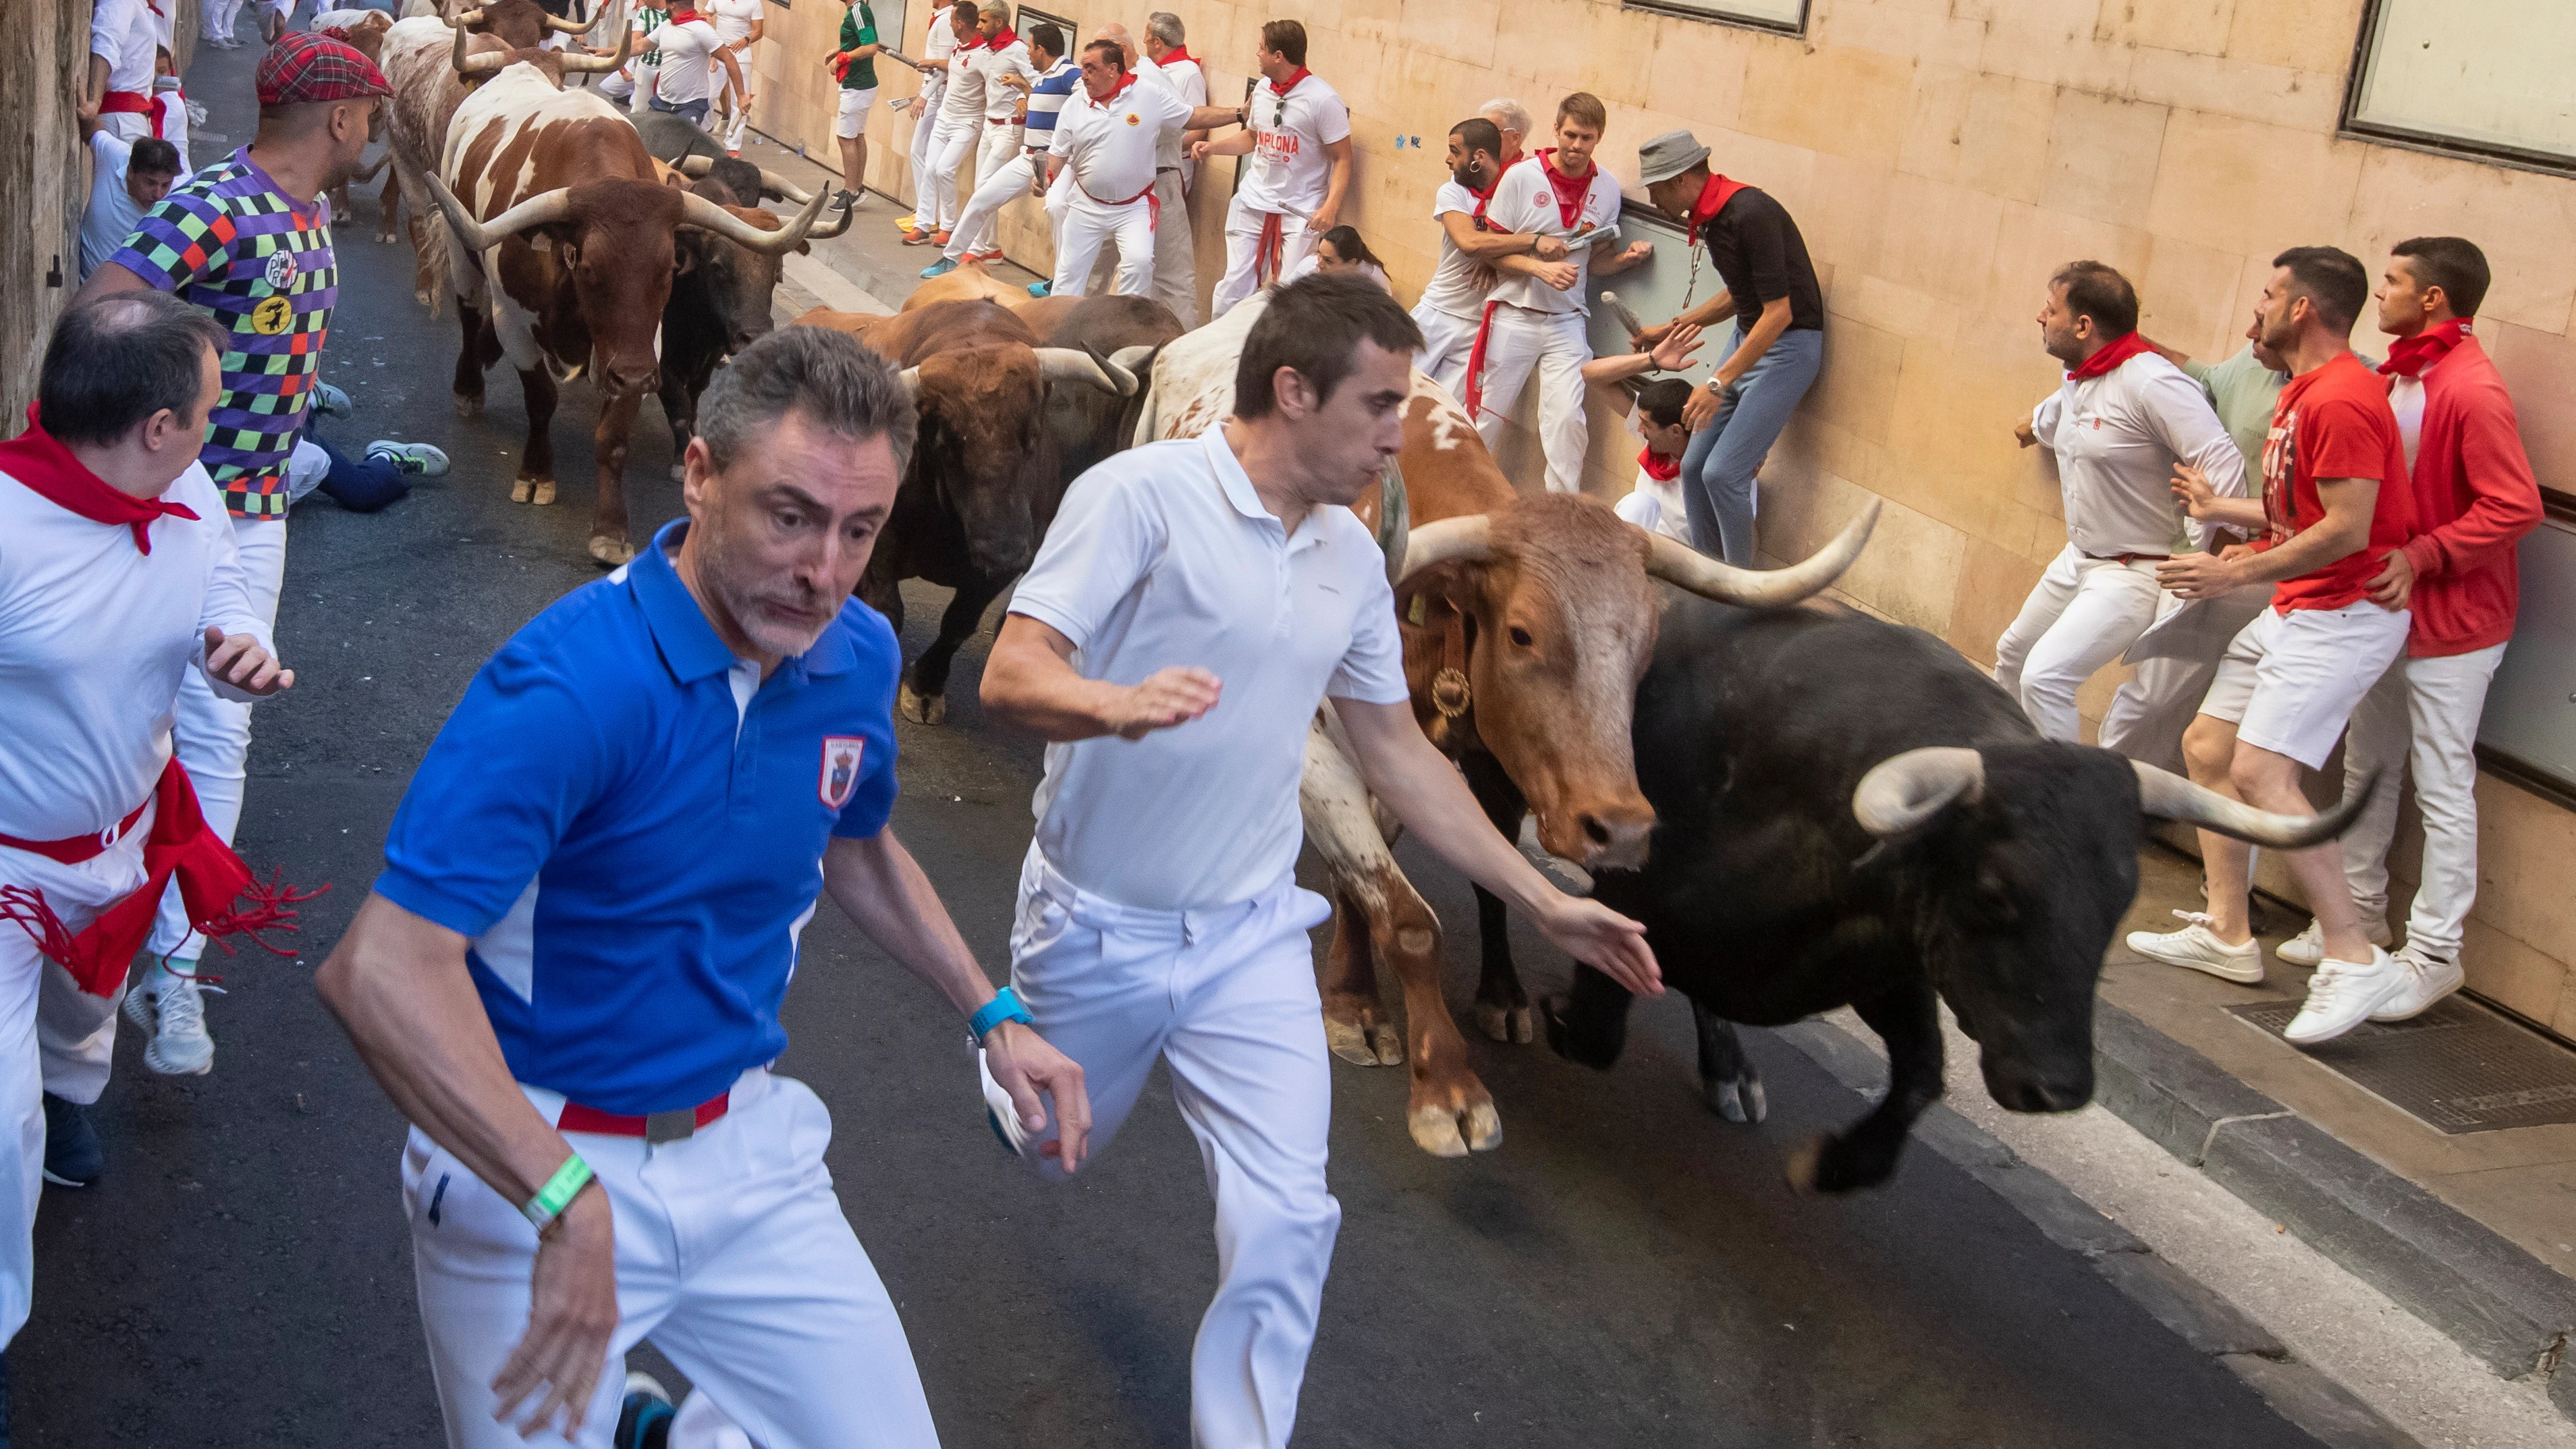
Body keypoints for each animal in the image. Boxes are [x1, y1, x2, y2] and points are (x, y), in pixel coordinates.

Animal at [424, 59, 824, 564]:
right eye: (589, 267)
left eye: (669, 267)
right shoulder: (513, 321)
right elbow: (540, 400)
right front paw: (536, 476)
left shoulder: (640, 349)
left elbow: (614, 436)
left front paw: (611, 531)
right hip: (462, 255)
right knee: (467, 315)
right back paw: (469, 387)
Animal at [1128, 290, 1875, 1149]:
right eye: (1521, 633)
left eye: (1645, 641)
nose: (1618, 827)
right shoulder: (1319, 753)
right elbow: (1406, 916)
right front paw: (1435, 1077)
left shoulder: (1481, 760)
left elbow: (1457, 877)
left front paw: (1444, 999)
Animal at [1535, 593, 2359, 1191]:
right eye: (1993, 893)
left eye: (2118, 900)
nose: (2058, 1086)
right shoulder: (1633, 908)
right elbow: (1594, 1030)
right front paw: (1548, 1012)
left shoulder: (1894, 961)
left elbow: (1923, 1074)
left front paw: (1836, 1162)